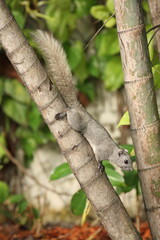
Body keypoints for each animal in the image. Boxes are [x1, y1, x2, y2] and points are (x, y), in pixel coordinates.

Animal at [33, 30, 132, 171]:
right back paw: (62, 114)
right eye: (125, 161)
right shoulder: (101, 151)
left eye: (131, 161)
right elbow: (98, 158)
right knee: (69, 111)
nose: (131, 169)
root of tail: (78, 107)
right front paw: (100, 165)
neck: (112, 151)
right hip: (76, 122)